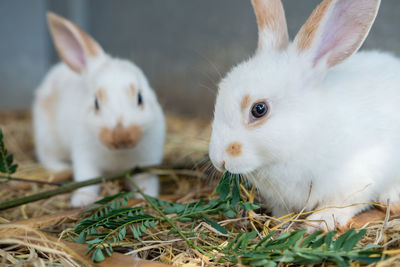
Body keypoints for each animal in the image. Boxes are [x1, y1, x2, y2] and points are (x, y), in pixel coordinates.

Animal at [33, 12, 166, 208]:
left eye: (140, 98)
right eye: (96, 103)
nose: (121, 137)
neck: (119, 154)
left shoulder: (147, 163)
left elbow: (146, 183)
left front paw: (146, 198)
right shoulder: (85, 159)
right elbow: (87, 180)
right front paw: (81, 201)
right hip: (47, 138)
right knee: (48, 158)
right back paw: (63, 168)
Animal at [209, 0, 400, 231]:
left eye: (259, 109)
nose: (218, 160)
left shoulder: (356, 179)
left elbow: (341, 204)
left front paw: (319, 223)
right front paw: (281, 224)